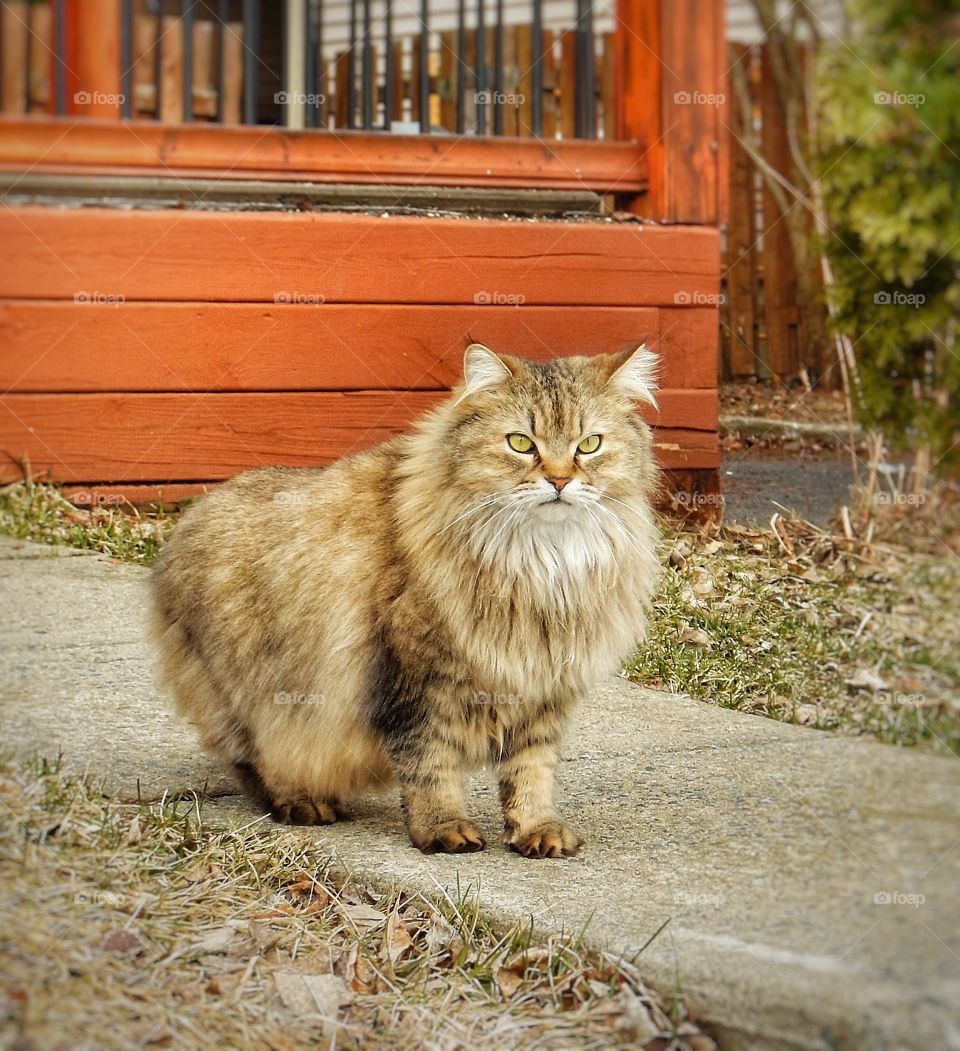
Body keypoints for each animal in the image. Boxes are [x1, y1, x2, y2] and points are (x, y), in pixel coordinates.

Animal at [151, 346, 660, 861]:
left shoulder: (543, 688)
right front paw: (443, 829)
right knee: (256, 761)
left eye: (589, 445)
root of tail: (184, 523)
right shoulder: (416, 682)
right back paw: (303, 802)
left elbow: (531, 771)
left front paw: (535, 829)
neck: (542, 565)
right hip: (259, 698)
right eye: (520, 442)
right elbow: (430, 767)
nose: (559, 480)